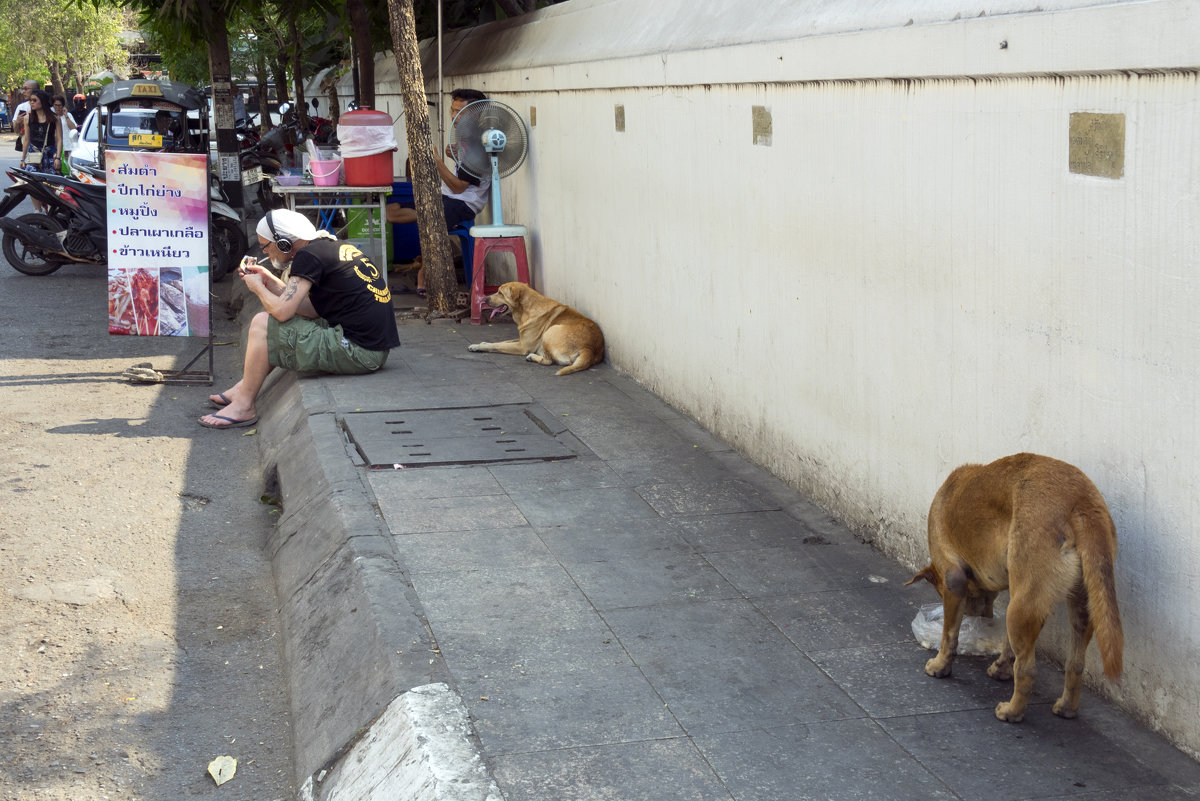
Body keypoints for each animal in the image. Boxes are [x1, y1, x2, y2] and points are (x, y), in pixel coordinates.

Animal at [463, 281, 604, 376]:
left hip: (550, 331)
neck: (526, 309)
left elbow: (497, 346)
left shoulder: (522, 346)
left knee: (548, 361)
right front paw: (480, 344)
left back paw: (533, 357)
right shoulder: (521, 339)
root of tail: (589, 348)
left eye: (500, 293)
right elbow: (501, 341)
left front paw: (479, 346)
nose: (485, 299)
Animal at [907, 453, 1123, 724]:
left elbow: (949, 635)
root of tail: (1080, 500)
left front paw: (940, 666)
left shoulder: (953, 581)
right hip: (1077, 606)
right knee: (1075, 663)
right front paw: (1001, 668)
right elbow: (1007, 644)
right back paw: (1067, 708)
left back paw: (1012, 712)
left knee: (1028, 670)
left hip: (1019, 610)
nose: (981, 619)